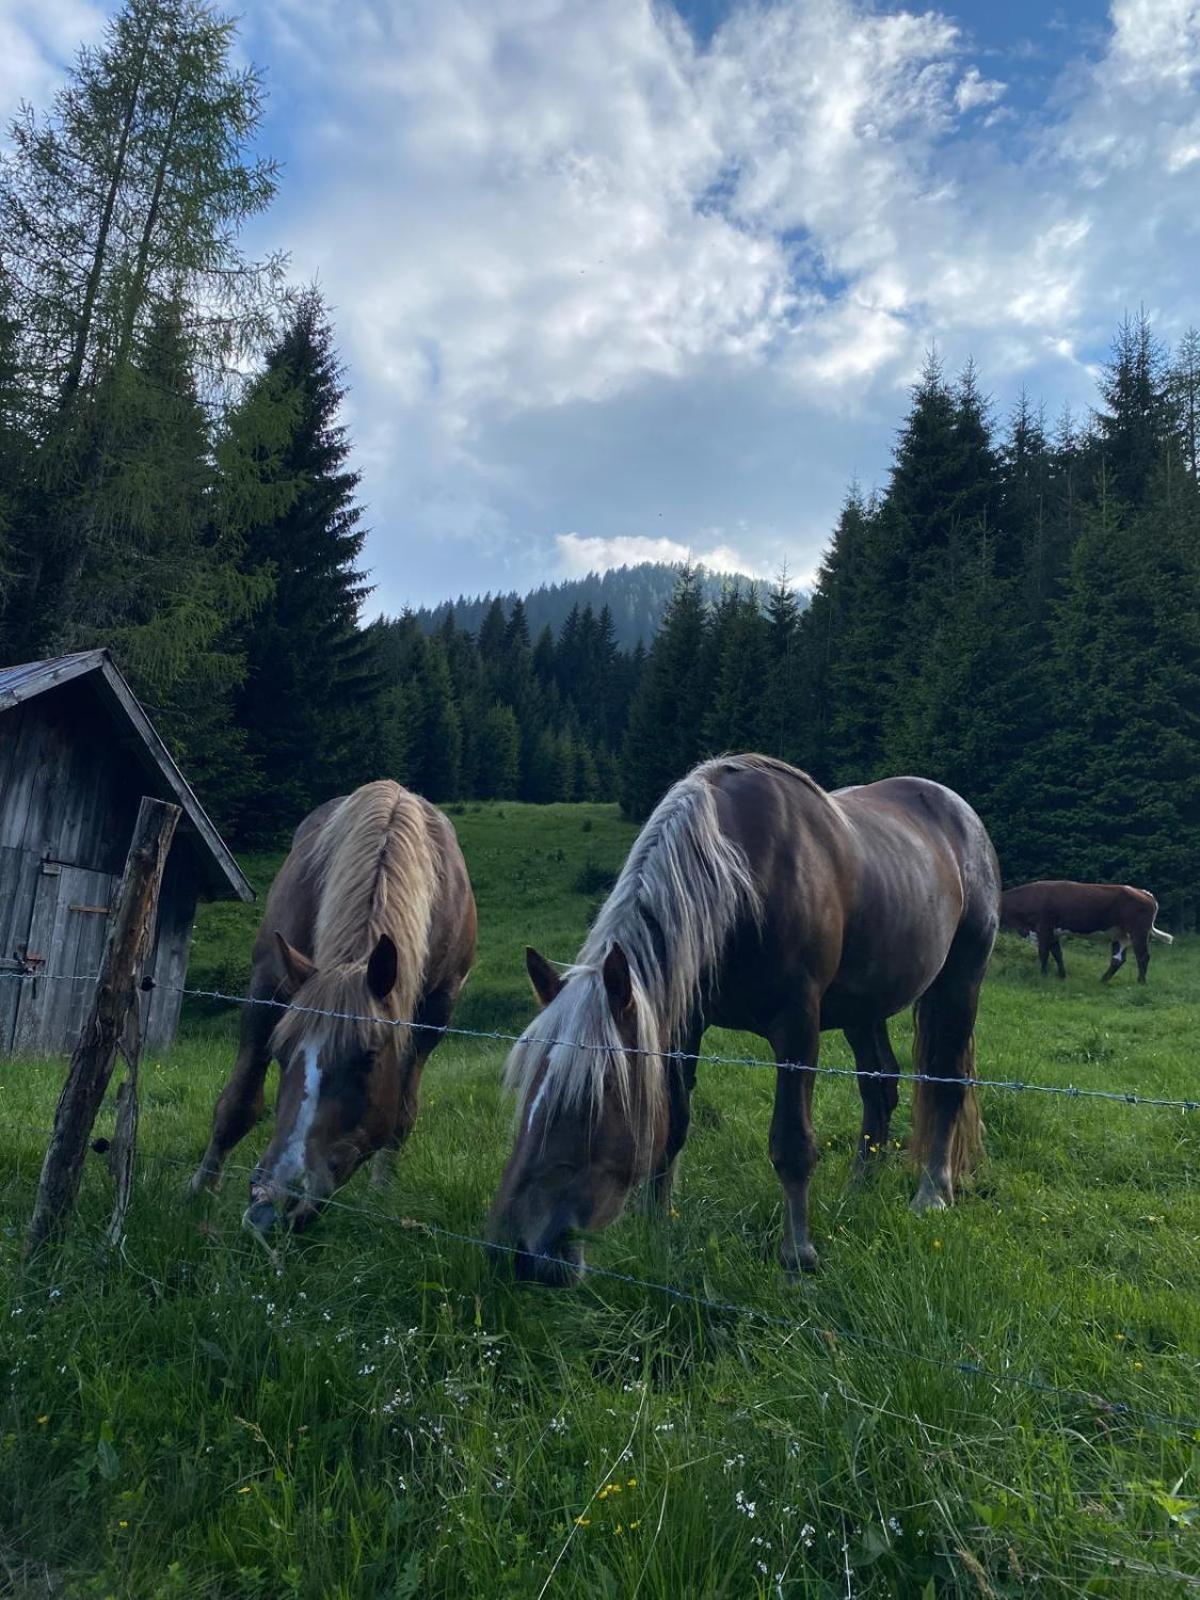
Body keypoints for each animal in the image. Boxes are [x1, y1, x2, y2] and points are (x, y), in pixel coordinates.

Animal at [190, 780, 476, 1228]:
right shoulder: (267, 985)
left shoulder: (436, 1013)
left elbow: (401, 1115)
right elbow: (237, 1103)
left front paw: (378, 1198)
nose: (273, 1202)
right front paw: (199, 1192)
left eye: (367, 1057)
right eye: (281, 1051)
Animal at [489, 752, 1004, 1286]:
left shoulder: (797, 1027)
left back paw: (932, 1195)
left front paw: (797, 1257)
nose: (518, 1252)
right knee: (879, 1087)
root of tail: (960, 813)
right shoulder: (685, 1025)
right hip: (865, 1007)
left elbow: (792, 1143)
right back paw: (858, 1189)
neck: (743, 880)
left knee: (947, 1082)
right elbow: (673, 1127)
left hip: (960, 981)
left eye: (590, 1101)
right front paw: (656, 1227)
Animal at [998, 883, 1177, 979]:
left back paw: (1141, 982)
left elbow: (1043, 953)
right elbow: (1057, 954)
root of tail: (1144, 893)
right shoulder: (1053, 932)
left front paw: (1043, 975)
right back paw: (1103, 980)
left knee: (1142, 957)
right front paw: (1062, 976)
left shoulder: (1043, 928)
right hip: (1120, 934)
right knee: (1118, 959)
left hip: (1138, 932)